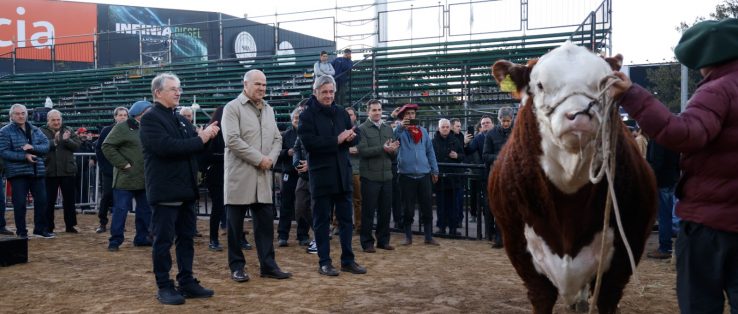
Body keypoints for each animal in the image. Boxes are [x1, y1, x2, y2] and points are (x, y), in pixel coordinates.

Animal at [488, 43, 656, 312]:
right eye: (540, 85)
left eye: (603, 84)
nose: (579, 114)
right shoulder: (518, 247)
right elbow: (541, 296)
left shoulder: (623, 256)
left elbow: (607, 297)